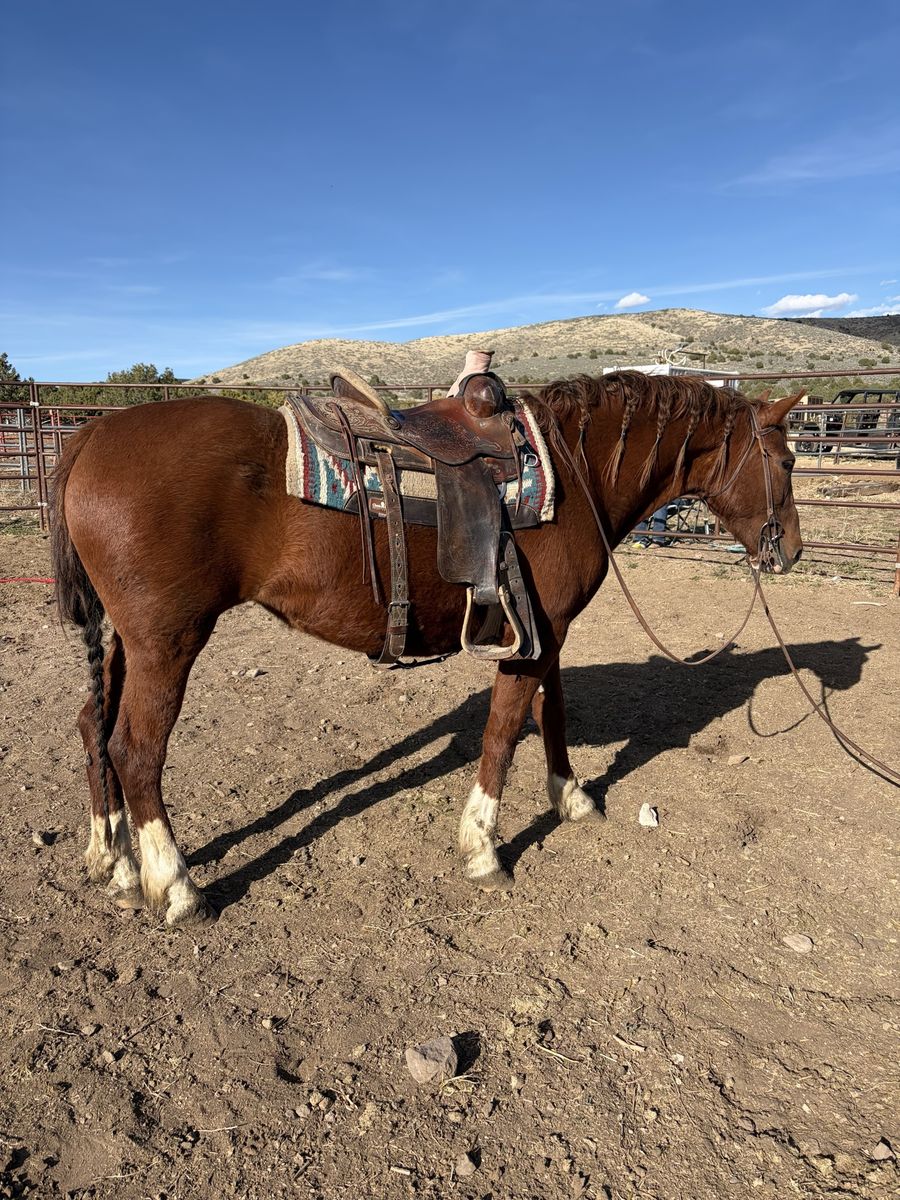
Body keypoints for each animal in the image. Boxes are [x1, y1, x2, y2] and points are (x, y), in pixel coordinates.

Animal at [50, 371, 803, 927]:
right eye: (788, 459)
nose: (791, 550)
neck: (573, 472)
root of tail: (92, 434)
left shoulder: (549, 632)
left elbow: (551, 712)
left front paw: (571, 796)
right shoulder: (529, 637)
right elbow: (504, 730)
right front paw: (483, 848)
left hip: (128, 642)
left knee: (93, 726)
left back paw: (114, 861)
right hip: (168, 642)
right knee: (135, 748)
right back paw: (177, 887)